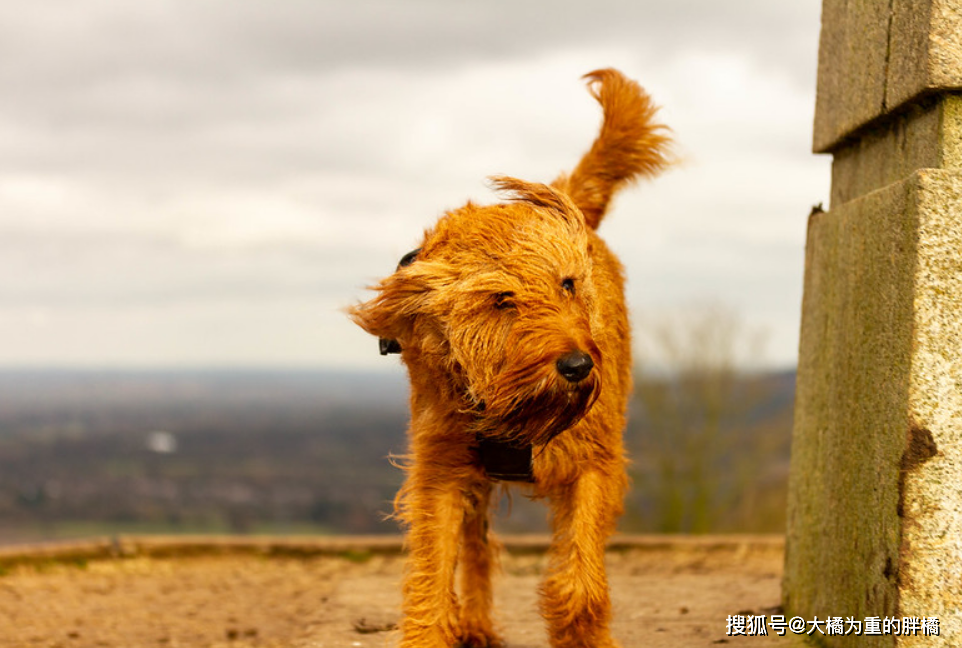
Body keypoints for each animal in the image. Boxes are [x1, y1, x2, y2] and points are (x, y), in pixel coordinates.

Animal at [348, 69, 672, 648]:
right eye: (502, 300)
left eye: (568, 284)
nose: (577, 367)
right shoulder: (441, 470)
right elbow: (432, 575)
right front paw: (437, 628)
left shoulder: (594, 464)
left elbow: (578, 581)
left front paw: (579, 628)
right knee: (476, 548)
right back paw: (475, 624)